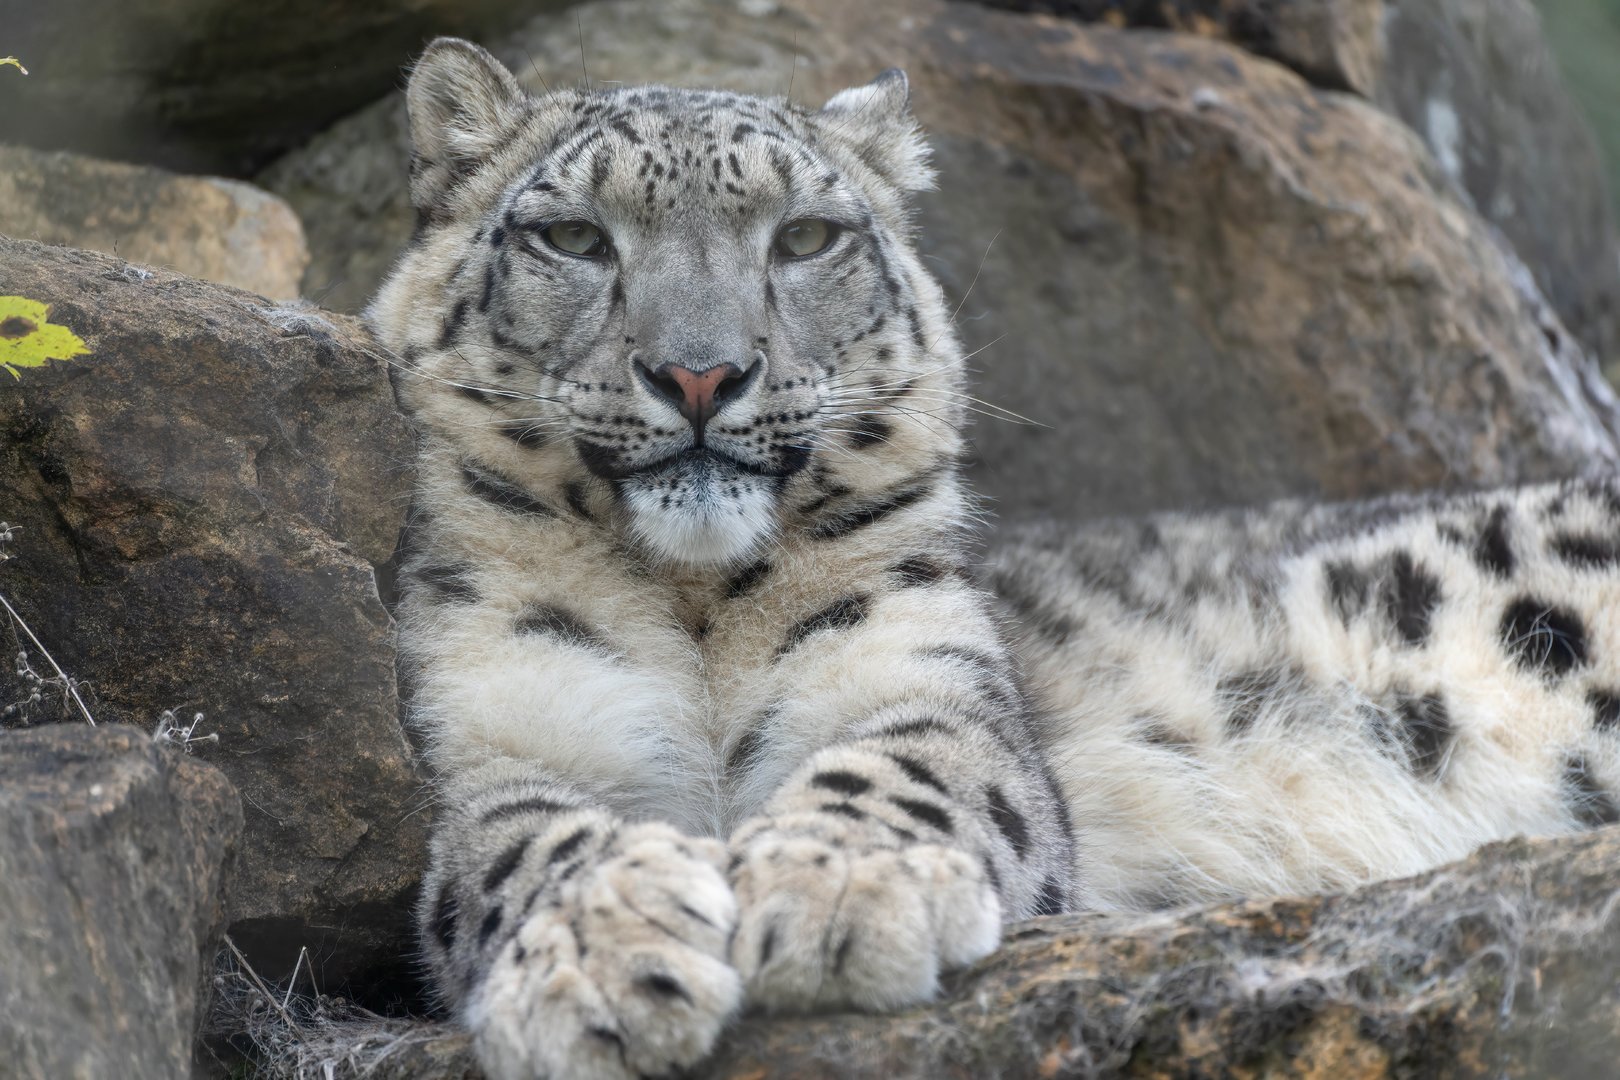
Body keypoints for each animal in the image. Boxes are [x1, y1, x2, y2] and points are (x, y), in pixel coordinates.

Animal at [366, 37, 1620, 1080]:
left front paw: (837, 894)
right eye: (573, 237)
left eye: (805, 236)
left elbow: (900, 771)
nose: (701, 373)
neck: (697, 603)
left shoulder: (928, 680)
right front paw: (604, 961)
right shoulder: (495, 731)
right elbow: (529, 843)